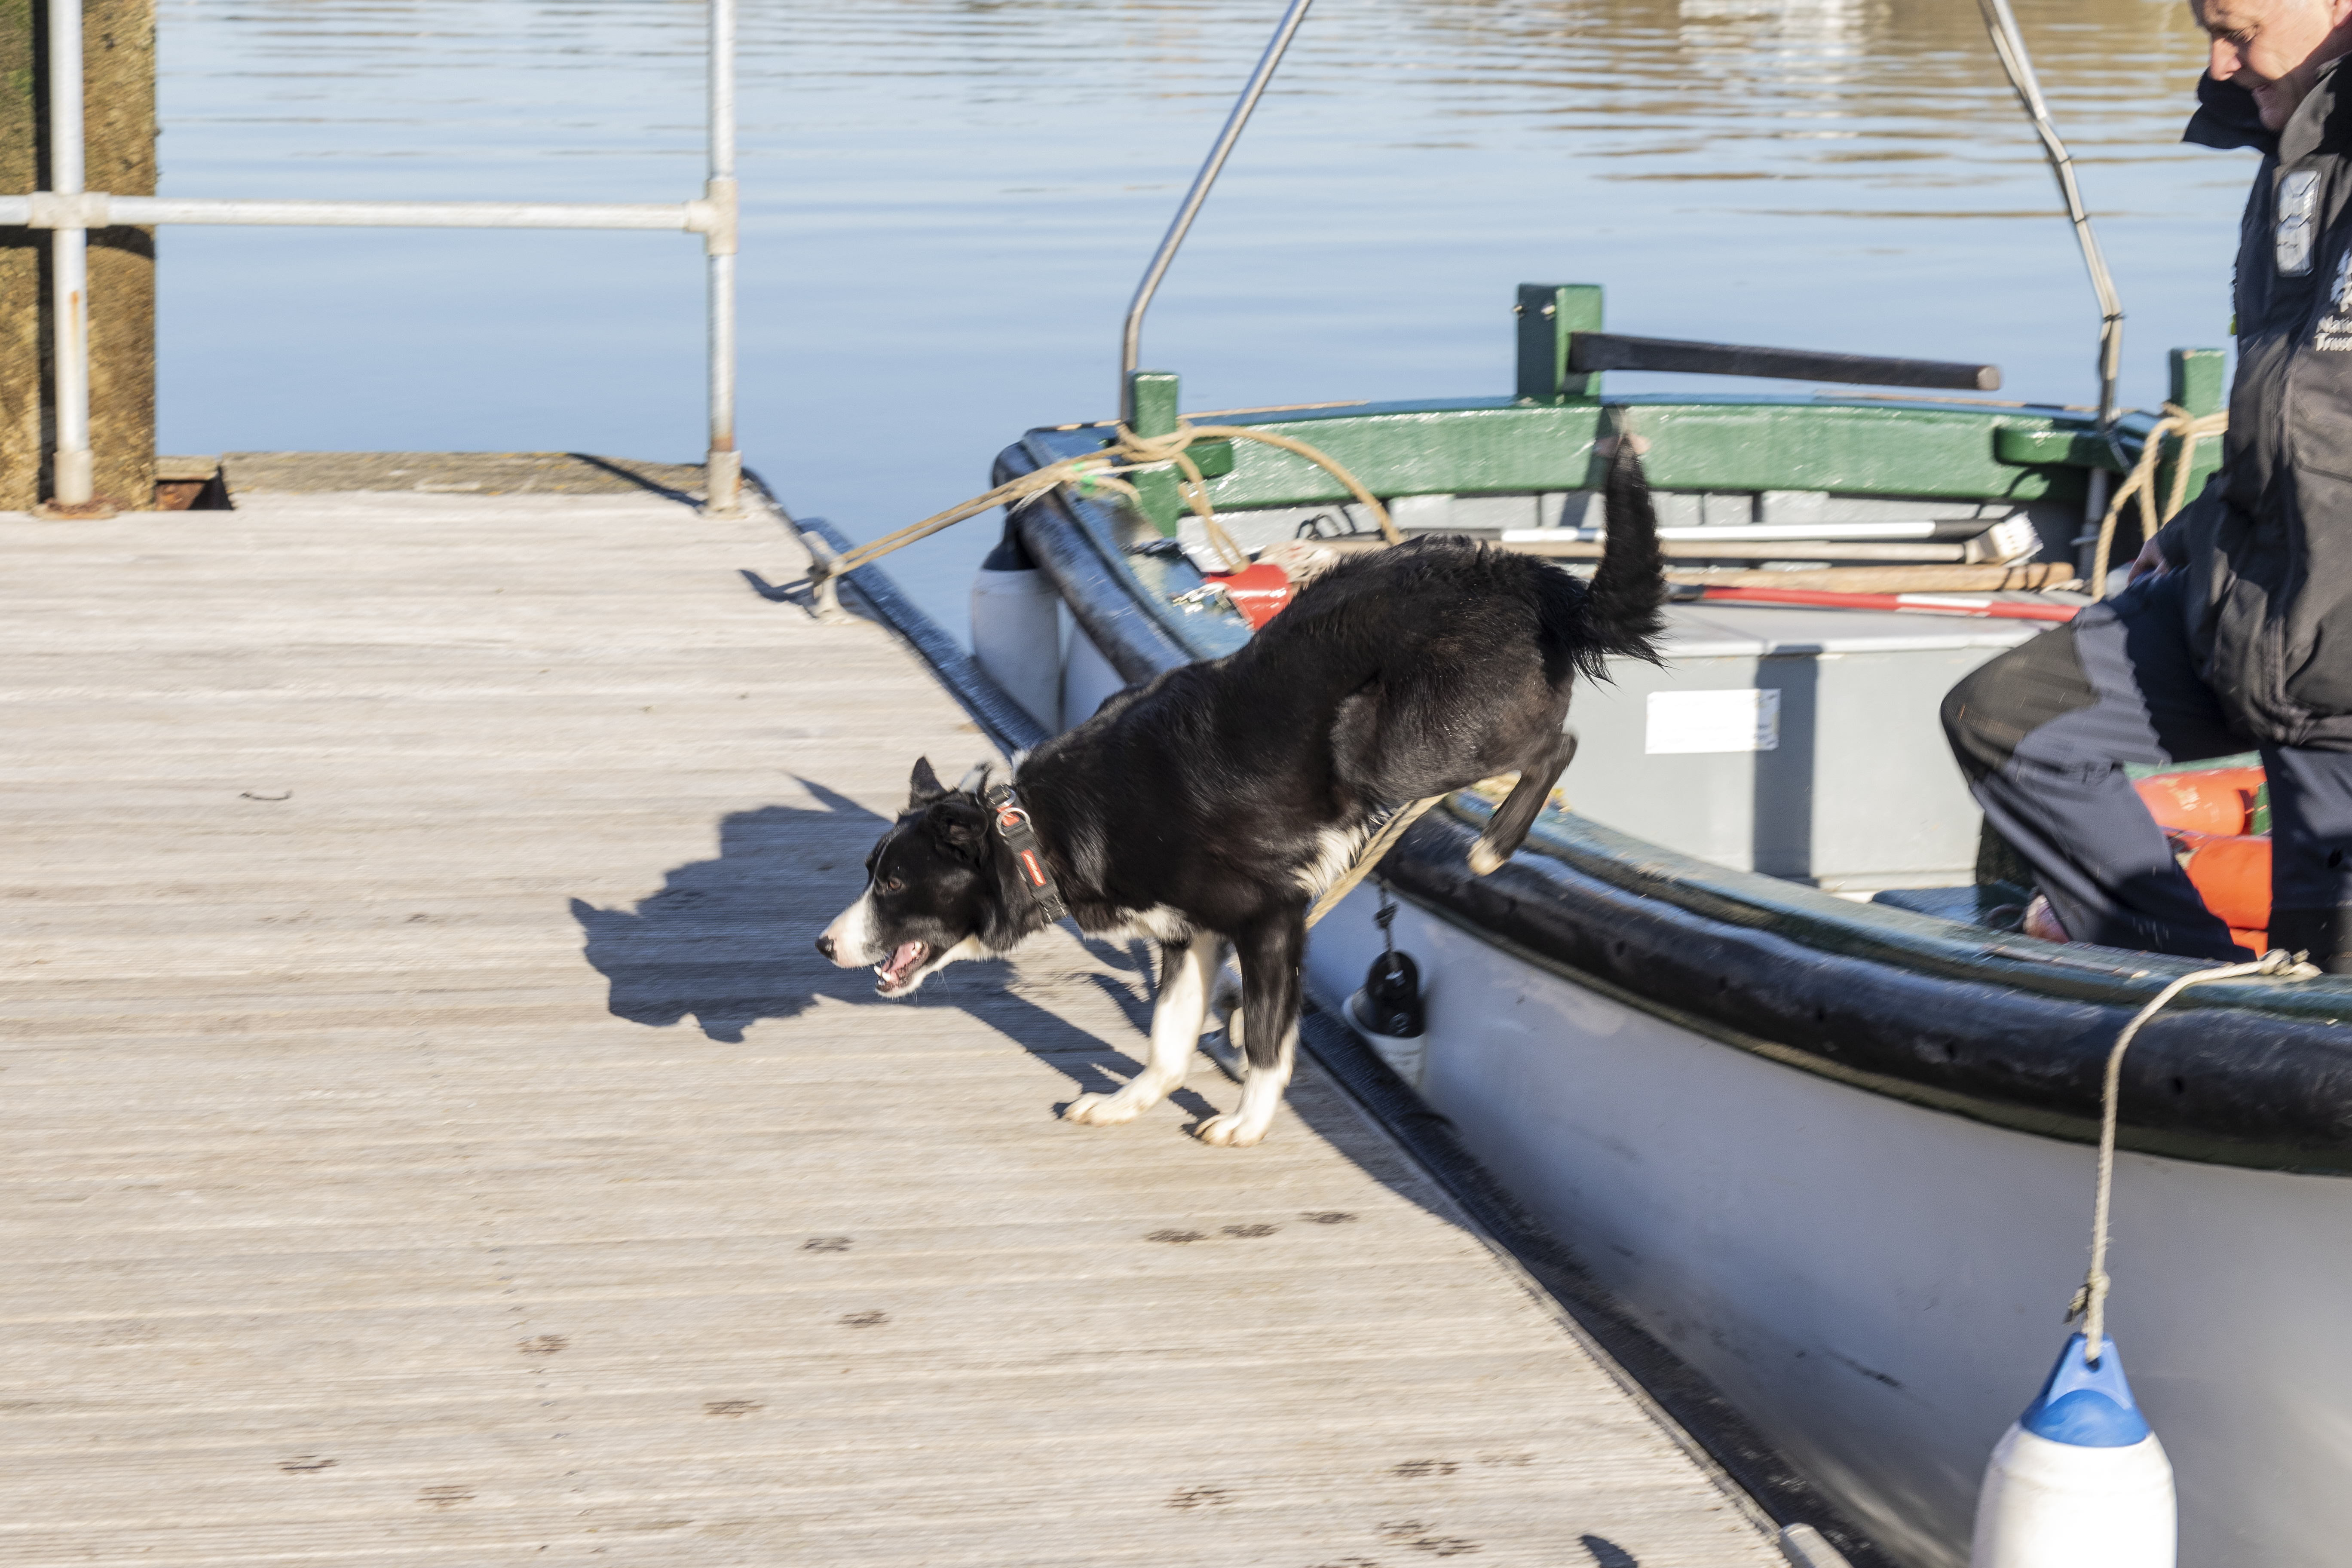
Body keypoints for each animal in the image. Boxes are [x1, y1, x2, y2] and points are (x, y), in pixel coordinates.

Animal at [818, 447, 1665, 1147]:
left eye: (894, 883)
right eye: (870, 874)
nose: (824, 945)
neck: (1040, 830)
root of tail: (1533, 580)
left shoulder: (1269, 919)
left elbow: (1262, 1038)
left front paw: (1246, 1122)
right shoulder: (1185, 936)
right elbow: (1167, 1040)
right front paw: (1127, 1103)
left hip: (1390, 744)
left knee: (1556, 745)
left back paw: (1492, 844)